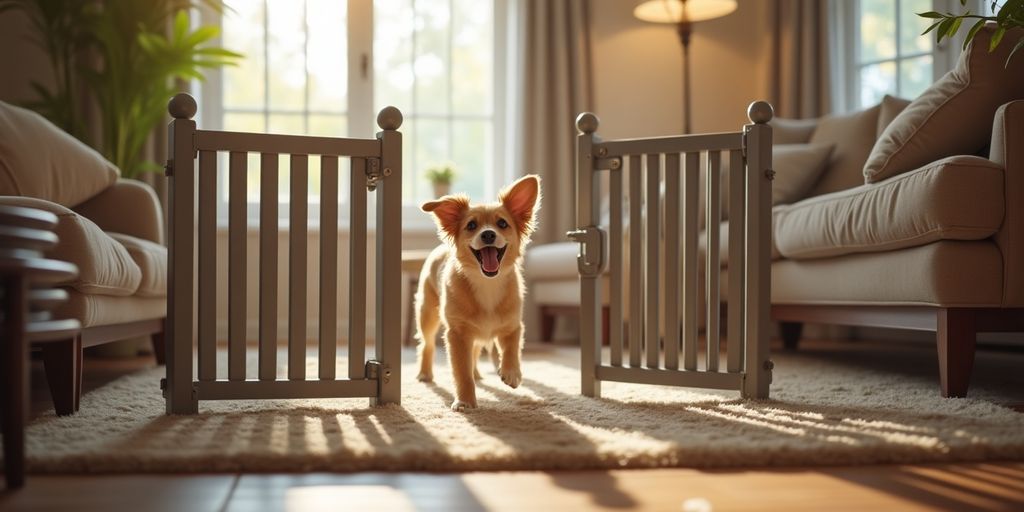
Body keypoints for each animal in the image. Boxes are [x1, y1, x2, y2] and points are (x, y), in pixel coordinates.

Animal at [411, 176, 540, 411]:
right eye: (471, 225)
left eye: (502, 224)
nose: (488, 234)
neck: (487, 283)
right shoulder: (457, 334)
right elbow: (461, 371)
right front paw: (465, 401)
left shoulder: (513, 326)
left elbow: (512, 349)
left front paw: (511, 373)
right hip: (427, 315)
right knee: (427, 345)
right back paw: (425, 373)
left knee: (476, 351)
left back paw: (478, 373)